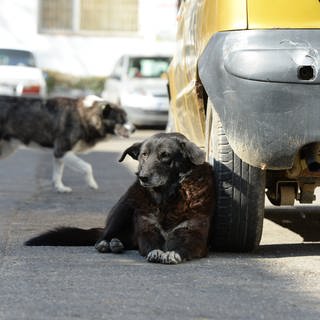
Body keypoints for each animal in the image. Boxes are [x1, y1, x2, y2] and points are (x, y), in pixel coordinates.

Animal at [0, 94, 134, 192]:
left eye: (127, 117)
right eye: (121, 119)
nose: (134, 129)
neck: (84, 115)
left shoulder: (59, 155)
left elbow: (58, 173)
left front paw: (60, 188)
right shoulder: (61, 151)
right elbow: (87, 167)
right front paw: (92, 183)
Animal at [25, 132, 215, 264]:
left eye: (165, 155)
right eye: (144, 155)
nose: (142, 177)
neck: (166, 199)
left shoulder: (194, 235)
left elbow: (182, 246)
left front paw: (172, 253)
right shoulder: (147, 230)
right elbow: (151, 244)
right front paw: (155, 252)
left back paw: (117, 244)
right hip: (125, 206)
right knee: (103, 237)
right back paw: (108, 243)